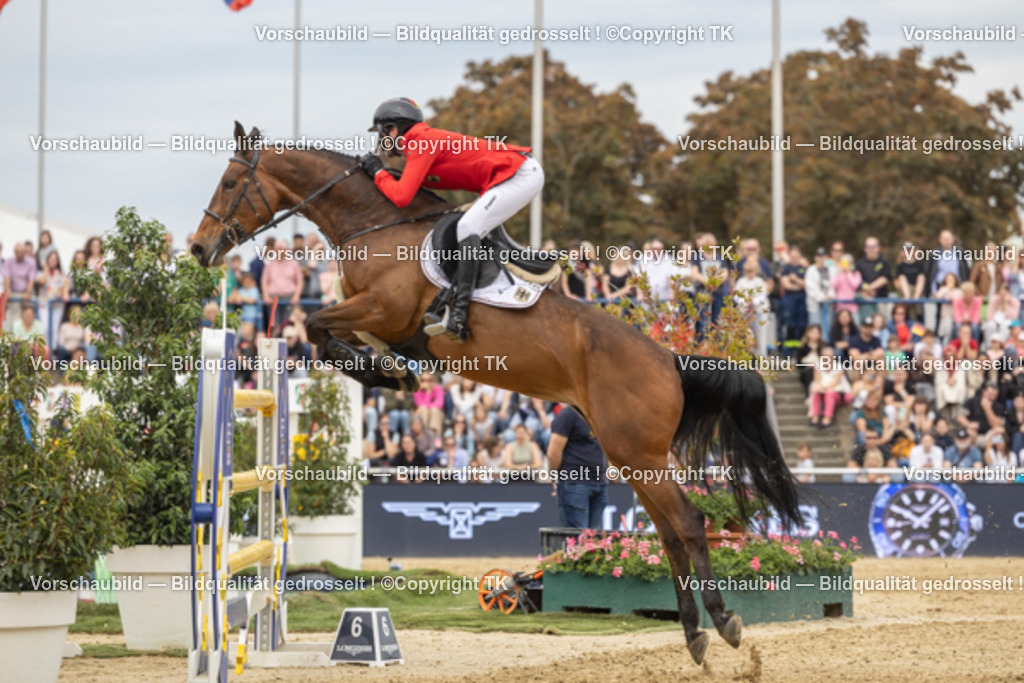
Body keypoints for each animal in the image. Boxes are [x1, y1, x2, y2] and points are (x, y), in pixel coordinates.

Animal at [192, 122, 803, 664]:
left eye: (230, 181)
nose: (199, 249)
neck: (374, 225)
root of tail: (668, 359)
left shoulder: (382, 309)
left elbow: (320, 327)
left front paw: (390, 373)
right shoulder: (373, 318)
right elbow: (328, 336)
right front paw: (392, 371)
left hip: (639, 453)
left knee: (690, 524)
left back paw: (722, 623)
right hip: (633, 455)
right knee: (670, 535)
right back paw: (694, 634)